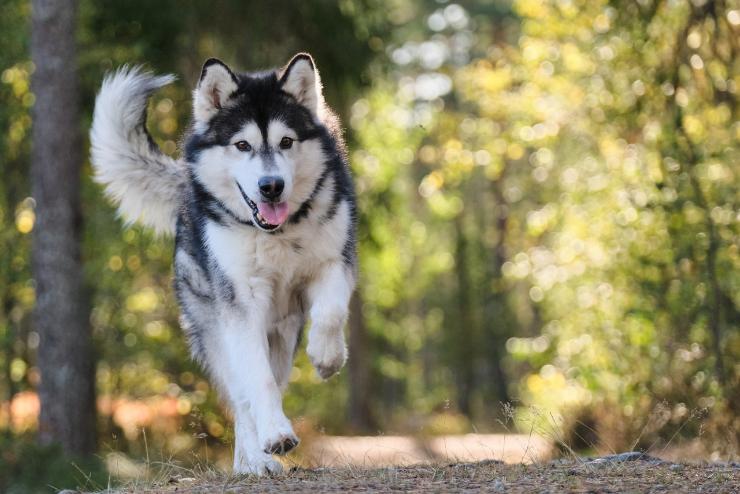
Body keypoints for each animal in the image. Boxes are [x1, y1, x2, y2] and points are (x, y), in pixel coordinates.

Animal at [91, 55, 356, 474]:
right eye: (242, 145)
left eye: (286, 141)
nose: (271, 186)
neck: (277, 234)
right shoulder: (242, 305)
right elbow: (258, 382)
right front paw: (274, 436)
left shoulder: (334, 261)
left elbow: (330, 313)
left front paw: (327, 358)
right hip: (219, 331)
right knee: (244, 397)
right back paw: (255, 460)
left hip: (282, 334)